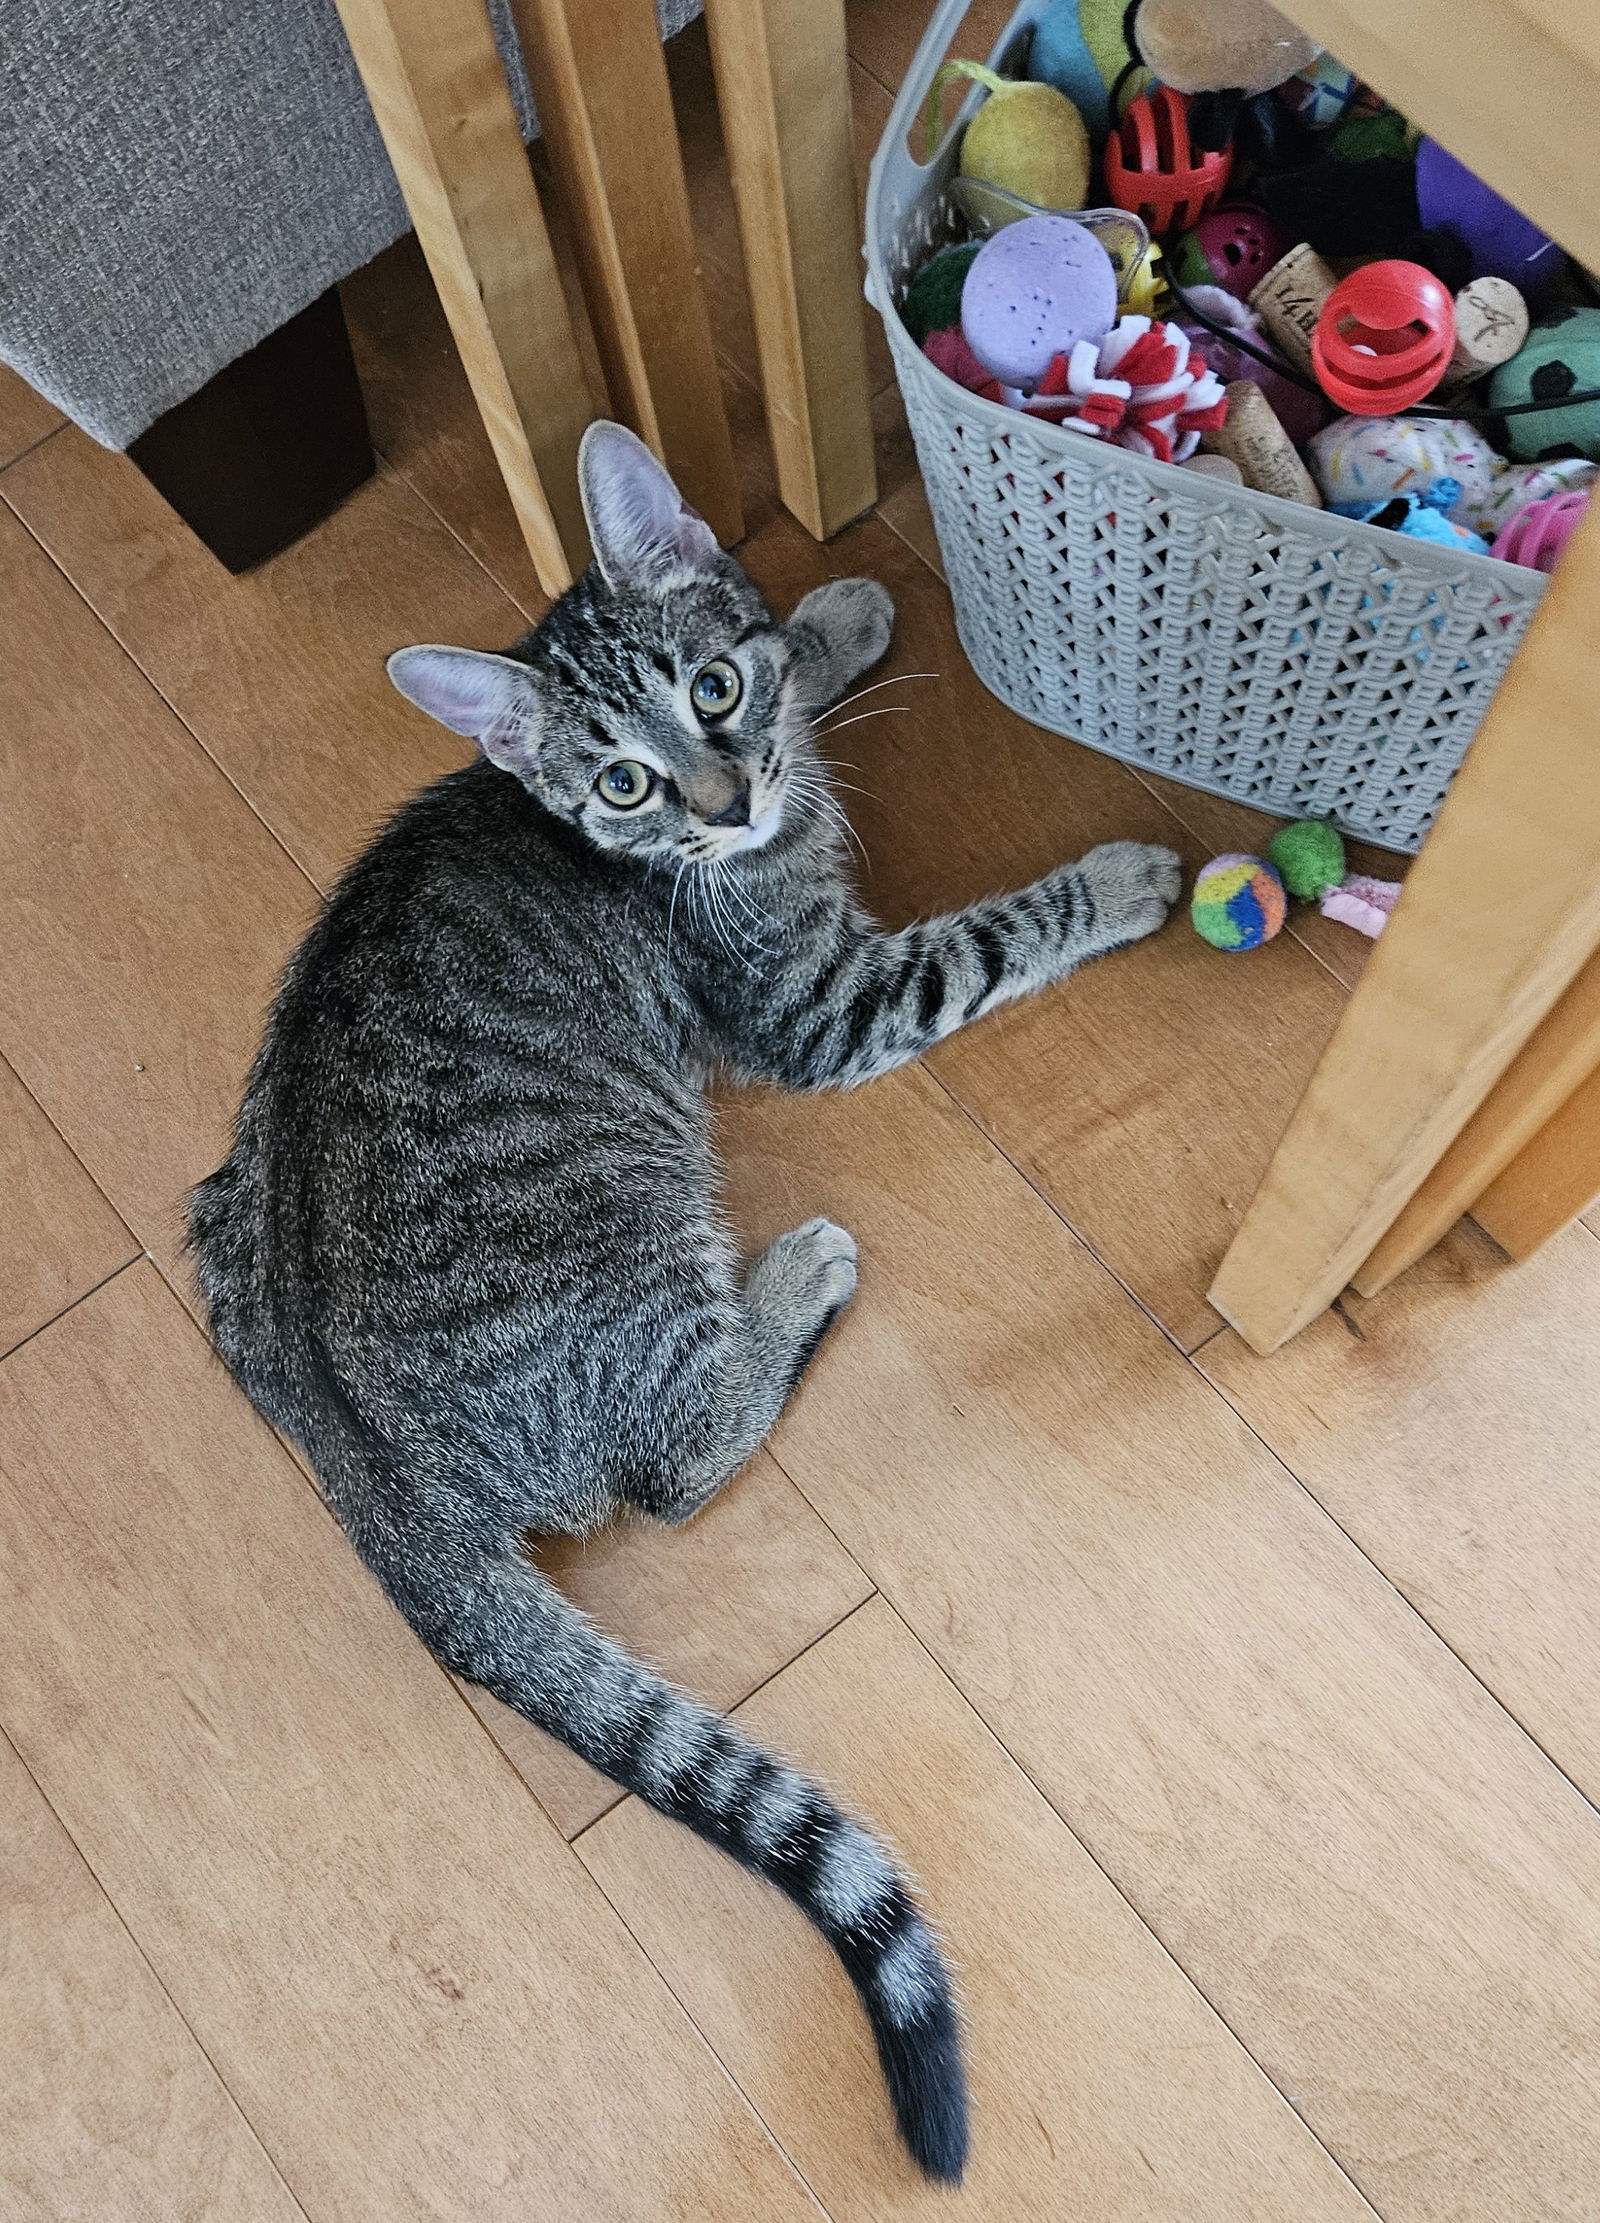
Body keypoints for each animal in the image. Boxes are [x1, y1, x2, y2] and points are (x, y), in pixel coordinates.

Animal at [191, 417, 1191, 2169]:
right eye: (623, 782)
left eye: (709, 692)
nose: (728, 799)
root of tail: (359, 1472)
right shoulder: (817, 1001)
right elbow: (991, 936)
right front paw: (1119, 875)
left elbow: (796, 651)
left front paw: (832, 618)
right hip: (644, 1237)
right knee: (672, 1465)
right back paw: (798, 1271)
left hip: (216, 1212)